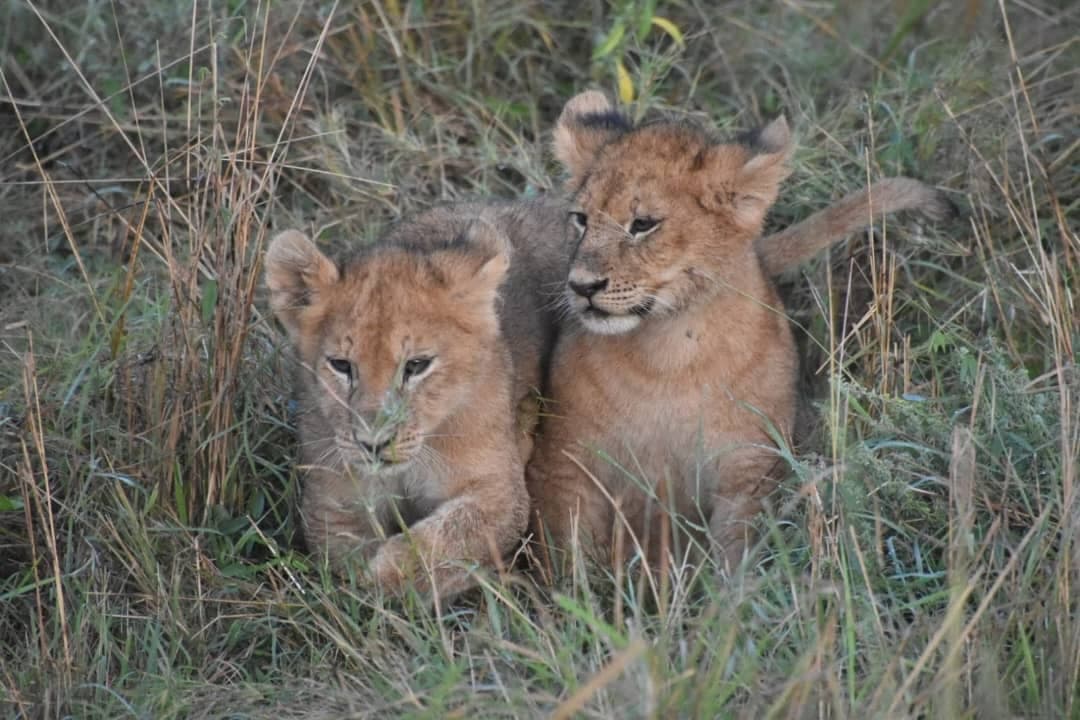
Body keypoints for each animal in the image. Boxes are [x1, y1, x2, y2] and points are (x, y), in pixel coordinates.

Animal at [265, 200, 572, 597]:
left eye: (416, 365)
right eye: (341, 365)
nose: (373, 444)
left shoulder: (502, 494)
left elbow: (441, 540)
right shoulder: (331, 505)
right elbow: (344, 563)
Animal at [526, 90, 954, 575]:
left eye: (643, 224)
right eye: (580, 218)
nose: (581, 286)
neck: (666, 355)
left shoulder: (749, 469)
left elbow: (735, 552)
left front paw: (730, 596)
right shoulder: (563, 461)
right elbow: (567, 552)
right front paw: (578, 593)